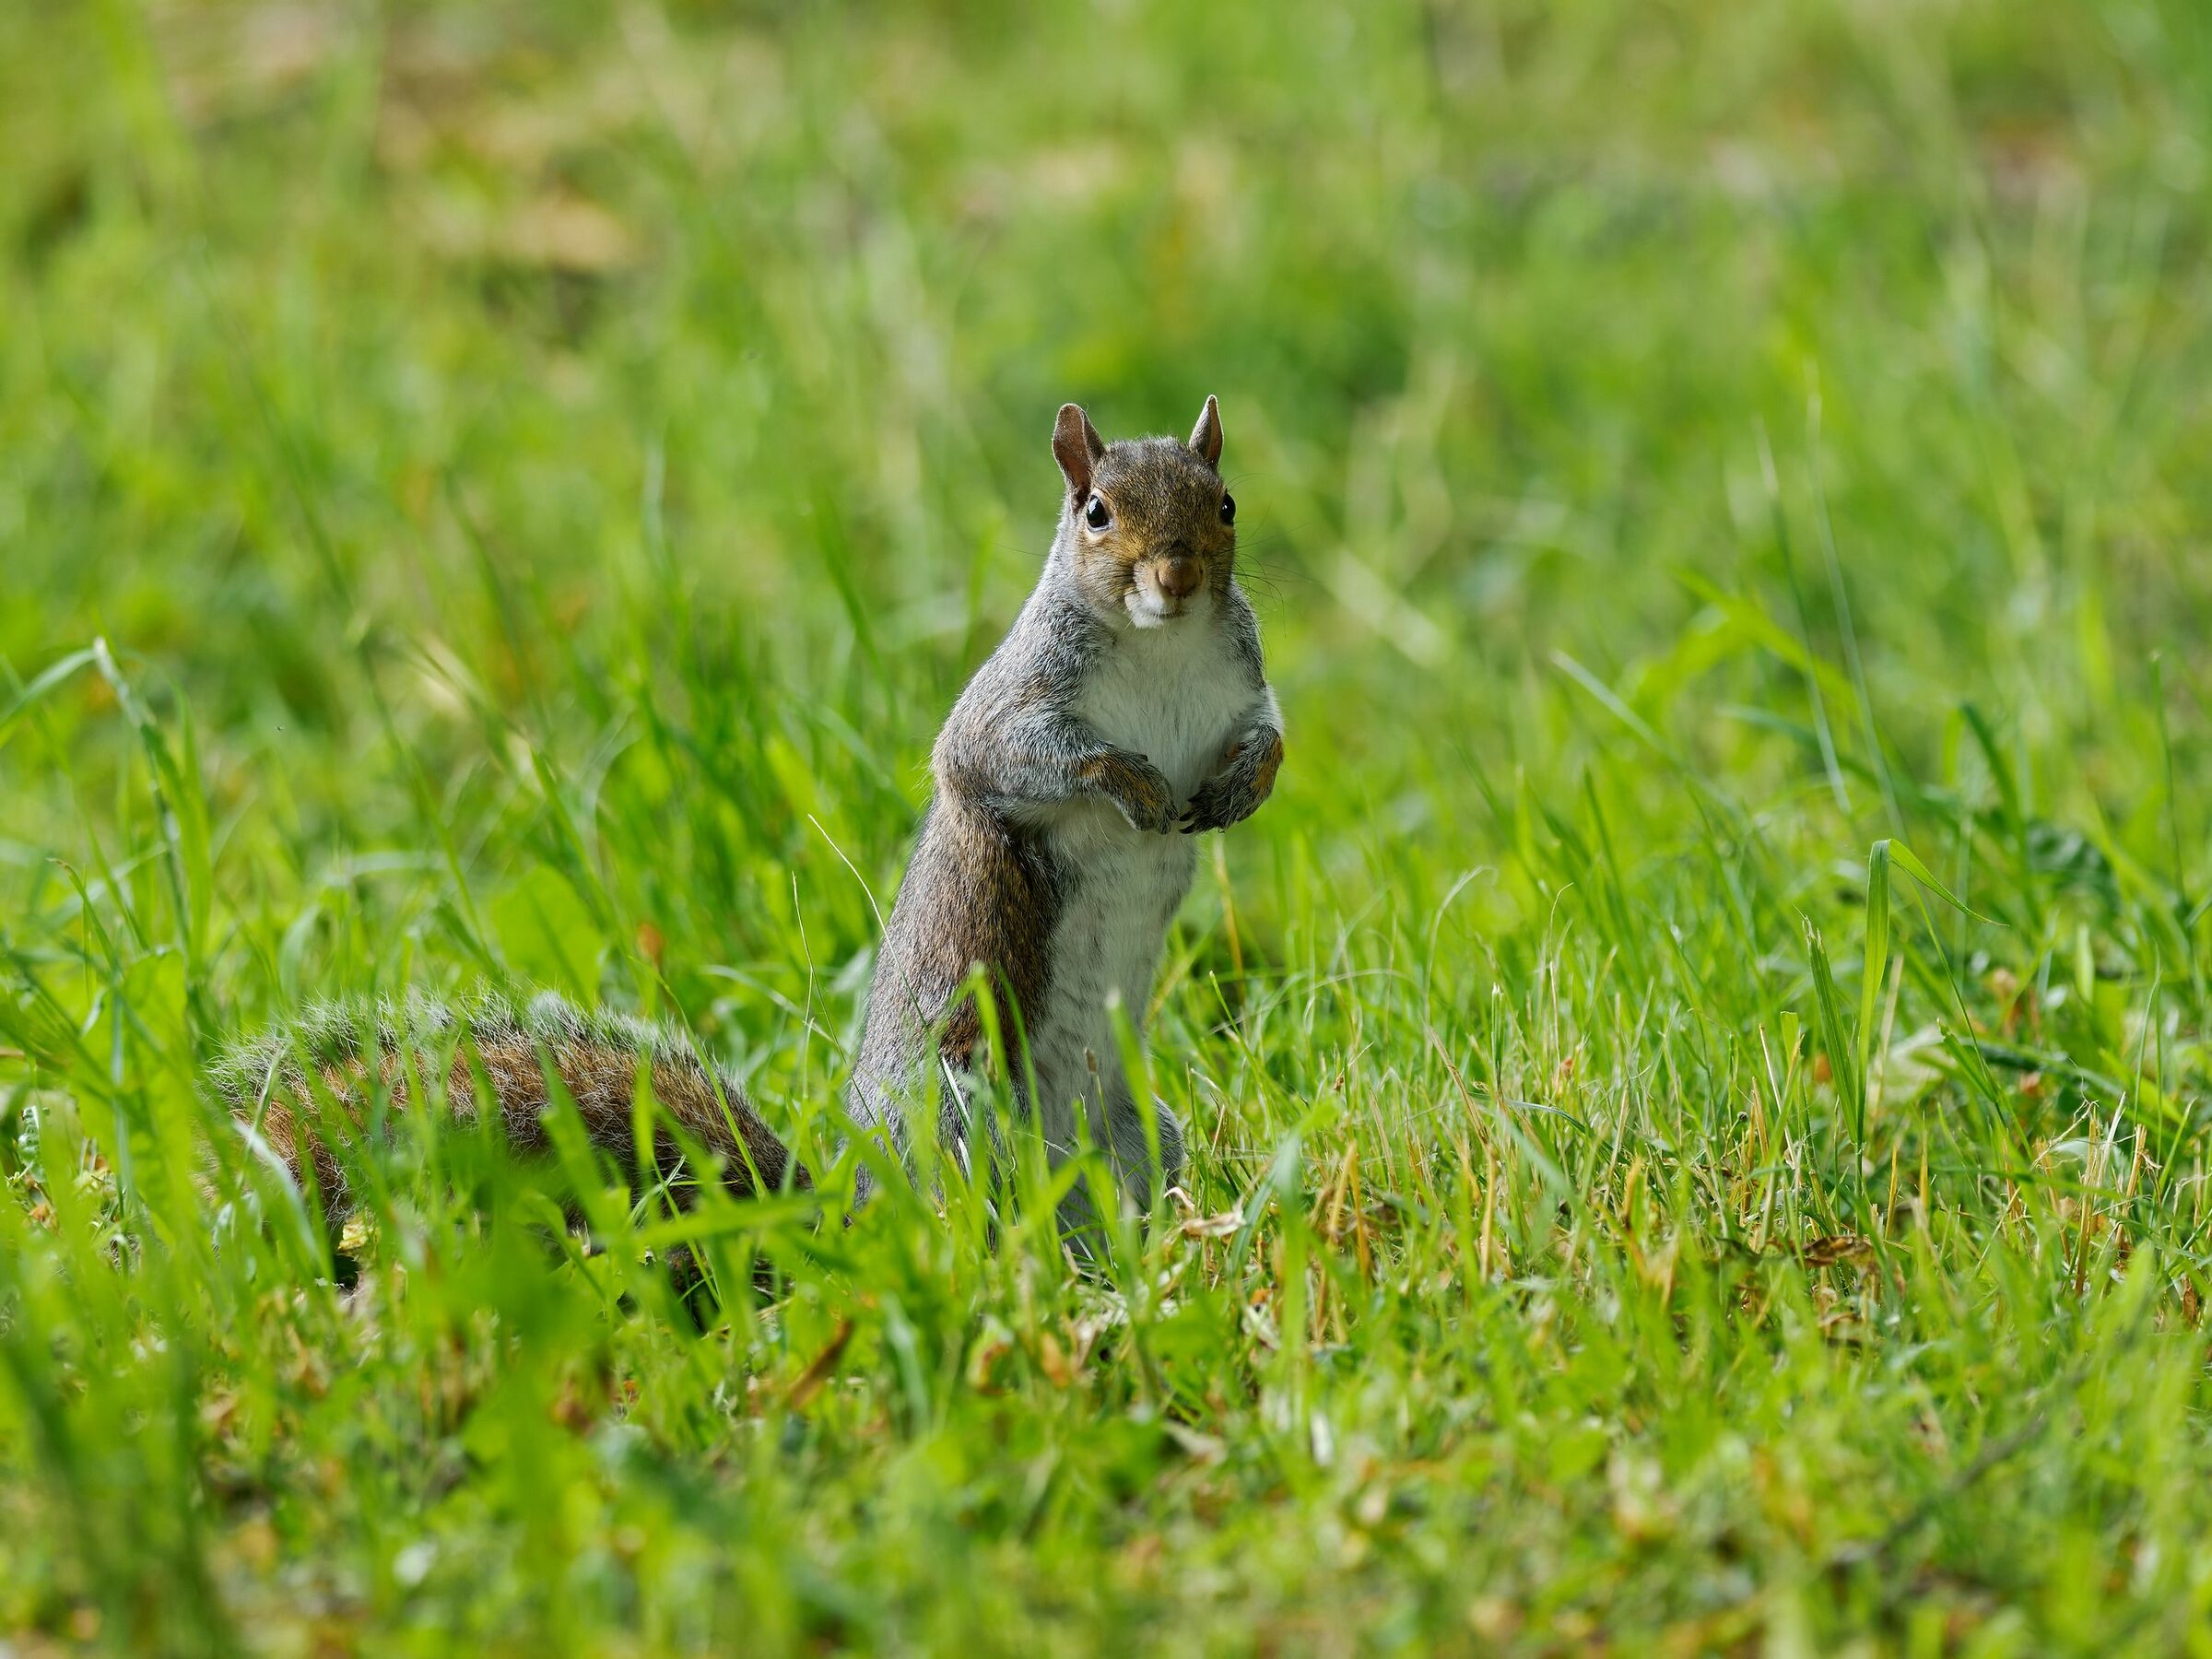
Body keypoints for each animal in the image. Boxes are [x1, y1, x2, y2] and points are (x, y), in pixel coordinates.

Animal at [220, 397, 1282, 1239]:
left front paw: (1244, 786)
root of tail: (849, 1215)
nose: (1177, 578)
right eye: (1096, 512)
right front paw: (1131, 782)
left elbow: (1266, 735)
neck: (1160, 646)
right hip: (958, 1115)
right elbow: (1015, 756)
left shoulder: (1239, 684)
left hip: (1135, 1133)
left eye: (1227, 503)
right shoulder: (1011, 707)